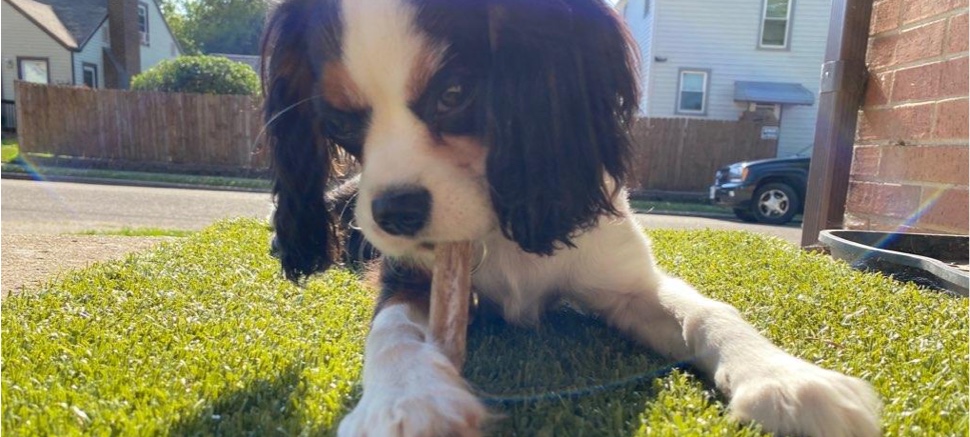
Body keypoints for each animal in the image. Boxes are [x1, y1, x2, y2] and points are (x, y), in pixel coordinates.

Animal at [260, 0, 880, 432]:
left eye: (455, 94)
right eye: (340, 122)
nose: (393, 214)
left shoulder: (629, 282)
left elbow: (710, 311)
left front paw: (788, 378)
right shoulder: (408, 278)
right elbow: (391, 334)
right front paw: (407, 404)